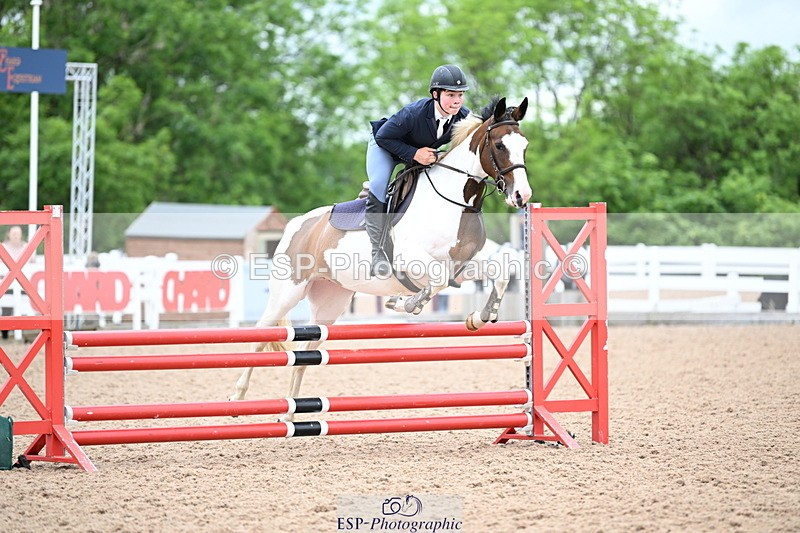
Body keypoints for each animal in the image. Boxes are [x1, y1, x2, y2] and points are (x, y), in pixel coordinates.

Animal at [230, 96, 532, 410]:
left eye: (524, 145)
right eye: (500, 146)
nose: (522, 196)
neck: (455, 201)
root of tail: (297, 224)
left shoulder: (464, 265)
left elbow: (500, 271)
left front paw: (481, 316)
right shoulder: (411, 258)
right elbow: (436, 281)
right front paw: (406, 303)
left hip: (330, 304)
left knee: (305, 353)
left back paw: (292, 412)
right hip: (287, 292)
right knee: (261, 335)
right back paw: (238, 396)